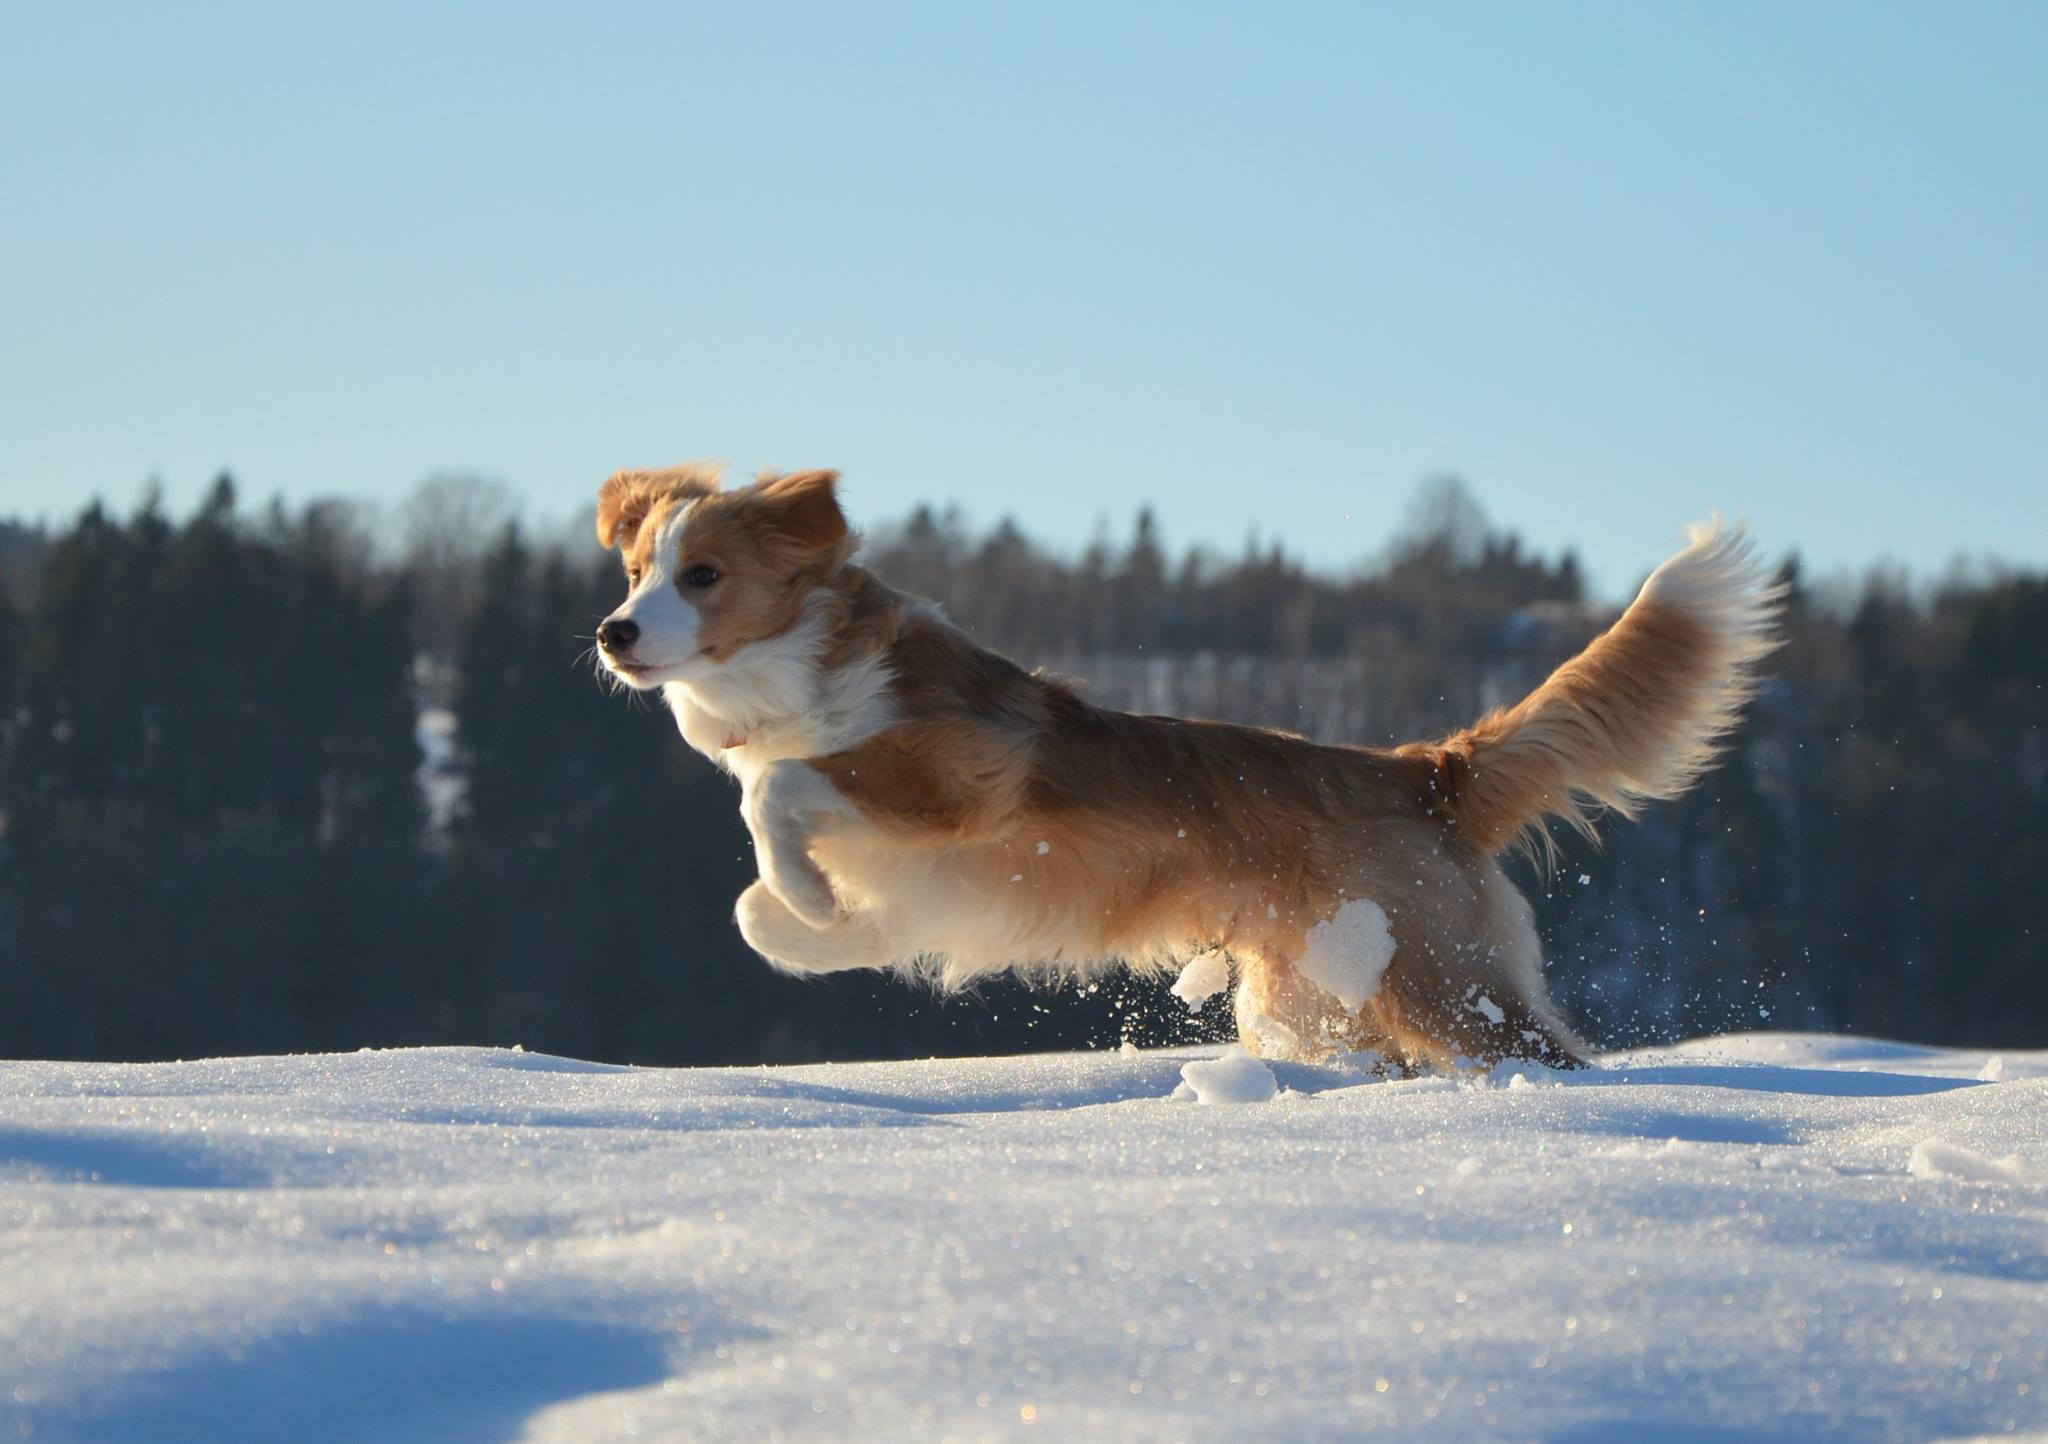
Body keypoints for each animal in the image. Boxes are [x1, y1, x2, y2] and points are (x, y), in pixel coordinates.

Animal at [589, 464, 1777, 1073]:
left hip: (1436, 976)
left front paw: (804, 892)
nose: (612, 631)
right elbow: (757, 908)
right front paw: (816, 921)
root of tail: (1420, 768)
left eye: (702, 576)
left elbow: (780, 789)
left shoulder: (965, 775)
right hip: (1318, 995)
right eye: (636, 569)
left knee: (1541, 1050)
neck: (802, 671)